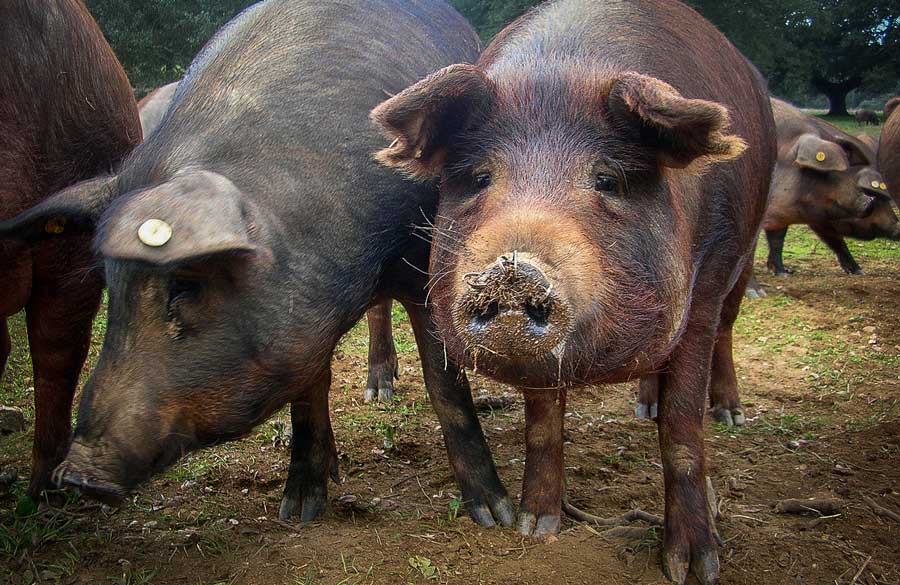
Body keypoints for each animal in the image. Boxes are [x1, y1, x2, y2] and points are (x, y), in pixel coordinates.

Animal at [370, 0, 776, 580]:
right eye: (480, 177)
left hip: (746, 249)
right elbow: (542, 421)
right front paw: (534, 527)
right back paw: (644, 408)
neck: (562, 72)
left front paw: (693, 568)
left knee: (724, 334)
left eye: (607, 179)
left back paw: (728, 414)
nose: (514, 269)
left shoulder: (709, 274)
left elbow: (682, 427)